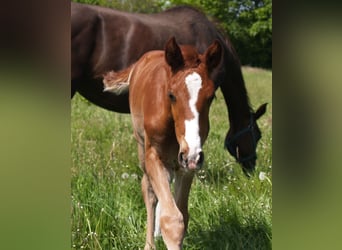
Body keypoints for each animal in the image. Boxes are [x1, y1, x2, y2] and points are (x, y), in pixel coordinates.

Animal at [103, 37, 223, 250]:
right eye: (172, 95)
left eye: (211, 97)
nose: (192, 154)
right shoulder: (155, 155)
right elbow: (172, 219)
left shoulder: (188, 163)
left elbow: (182, 214)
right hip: (142, 146)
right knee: (149, 189)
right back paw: (150, 243)